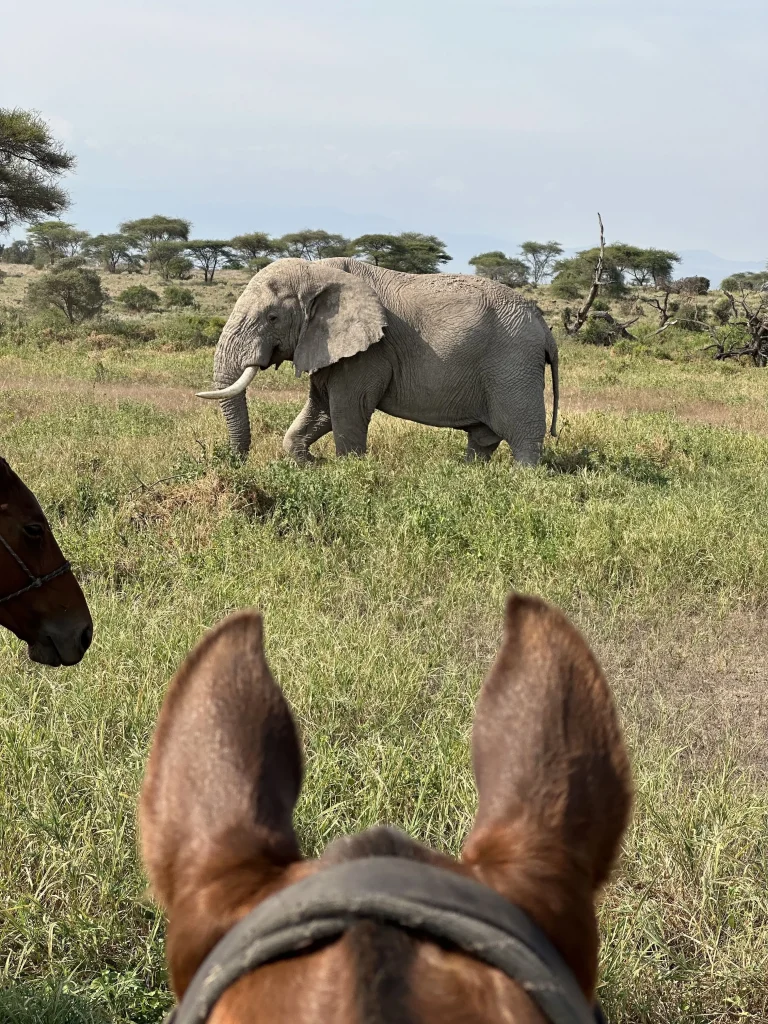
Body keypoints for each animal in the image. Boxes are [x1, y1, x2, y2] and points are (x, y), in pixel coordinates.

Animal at [196, 257, 559, 466]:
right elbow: (322, 409)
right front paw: (310, 463)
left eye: (272, 318)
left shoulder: (368, 353)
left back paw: (522, 479)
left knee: (523, 435)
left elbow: (348, 409)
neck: (317, 271)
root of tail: (544, 326)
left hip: (513, 364)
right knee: (482, 438)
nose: (235, 464)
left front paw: (348, 472)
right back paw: (468, 473)